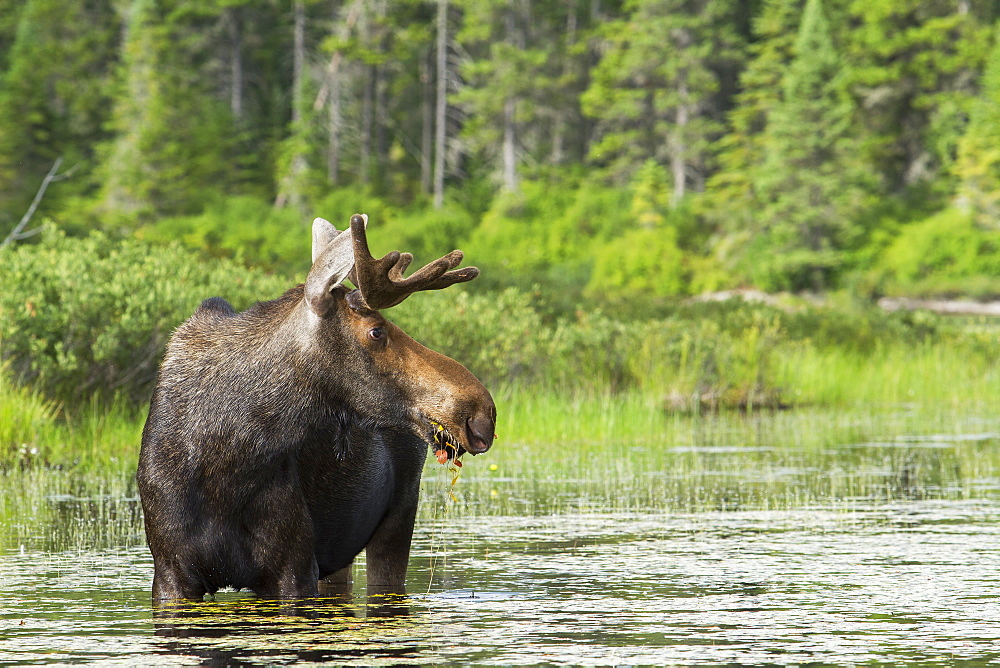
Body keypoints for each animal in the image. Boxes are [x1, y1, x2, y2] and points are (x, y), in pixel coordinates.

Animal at [137, 213, 496, 600]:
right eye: (377, 331)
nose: (482, 411)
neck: (221, 458)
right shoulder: (171, 573)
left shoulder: (294, 566)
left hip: (398, 516)